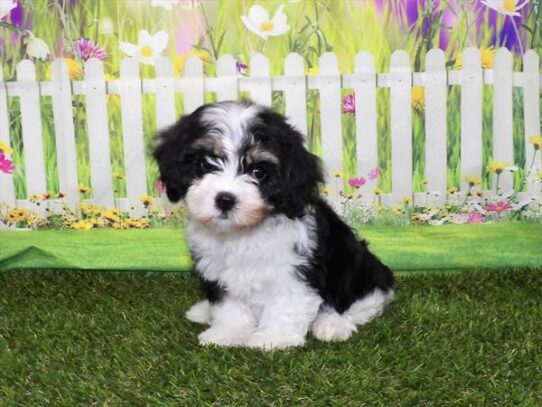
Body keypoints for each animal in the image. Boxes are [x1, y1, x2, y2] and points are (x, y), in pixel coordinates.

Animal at [153, 99, 396, 350]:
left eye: (258, 171)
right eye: (207, 164)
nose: (225, 199)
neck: (242, 232)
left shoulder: (295, 267)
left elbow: (286, 303)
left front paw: (273, 338)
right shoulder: (216, 267)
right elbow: (229, 304)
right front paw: (229, 333)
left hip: (361, 273)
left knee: (359, 305)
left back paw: (332, 324)